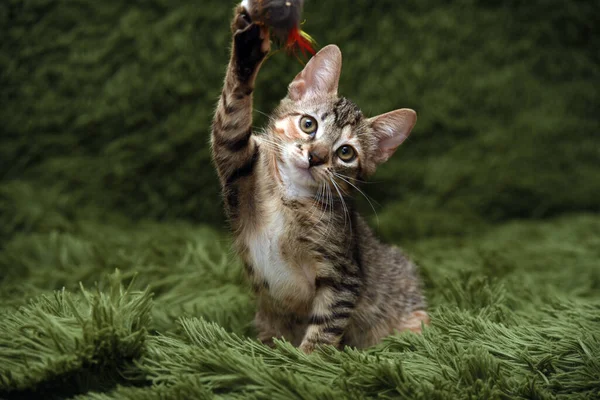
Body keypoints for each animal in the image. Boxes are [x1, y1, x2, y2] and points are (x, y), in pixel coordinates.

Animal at [211, 5, 426, 350]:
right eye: (308, 124)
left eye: (346, 153)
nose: (315, 156)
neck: (290, 195)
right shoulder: (235, 164)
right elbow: (231, 114)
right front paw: (247, 48)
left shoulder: (343, 275)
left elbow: (323, 330)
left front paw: (304, 361)